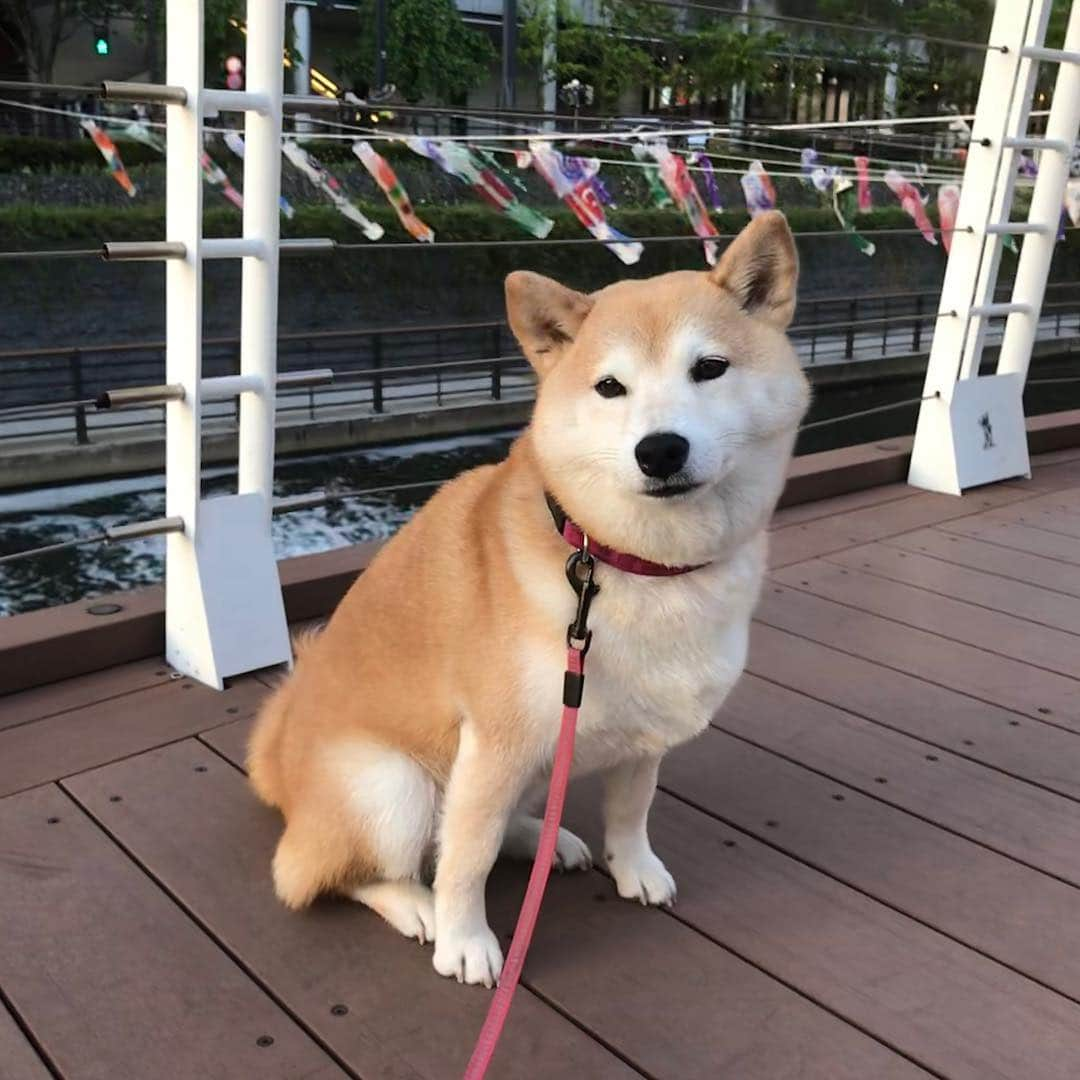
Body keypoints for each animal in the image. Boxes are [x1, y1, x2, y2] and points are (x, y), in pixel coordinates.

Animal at [248, 210, 812, 989]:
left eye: (710, 368)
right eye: (610, 387)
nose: (660, 449)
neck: (634, 565)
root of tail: (281, 767)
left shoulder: (648, 725)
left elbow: (633, 810)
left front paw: (634, 867)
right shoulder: (494, 741)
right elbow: (465, 860)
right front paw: (465, 940)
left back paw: (541, 838)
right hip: (392, 786)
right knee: (331, 872)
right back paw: (414, 904)